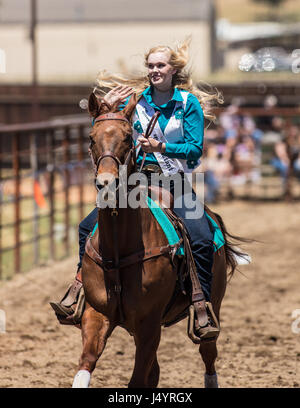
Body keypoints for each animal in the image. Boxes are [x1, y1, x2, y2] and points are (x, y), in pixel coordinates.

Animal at [72, 93, 244, 388]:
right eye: (91, 138)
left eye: (128, 137)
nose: (107, 183)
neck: (119, 249)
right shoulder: (96, 314)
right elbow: (87, 363)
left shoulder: (149, 326)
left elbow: (138, 378)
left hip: (214, 304)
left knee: (208, 353)